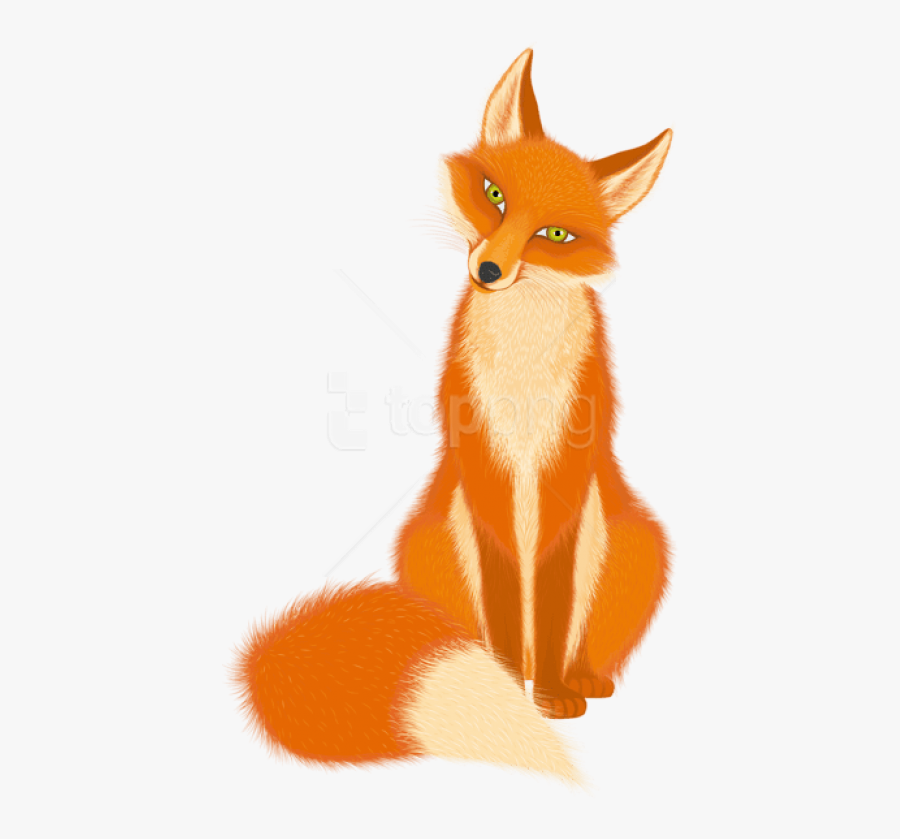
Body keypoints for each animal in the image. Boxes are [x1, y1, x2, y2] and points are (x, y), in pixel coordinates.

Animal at [234, 49, 672, 783]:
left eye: (554, 234)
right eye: (494, 195)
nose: (490, 269)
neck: (522, 374)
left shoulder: (565, 471)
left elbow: (552, 602)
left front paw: (551, 695)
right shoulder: (484, 466)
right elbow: (503, 601)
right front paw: (508, 687)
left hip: (636, 539)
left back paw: (574, 676)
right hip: (430, 536)